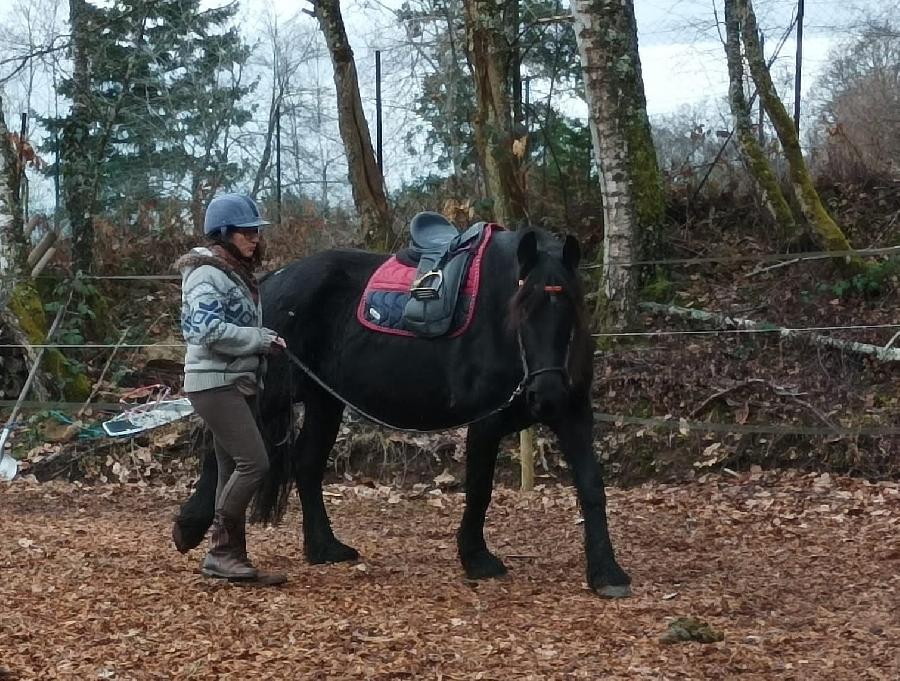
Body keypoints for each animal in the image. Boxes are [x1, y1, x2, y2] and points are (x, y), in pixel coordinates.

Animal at [172, 227, 628, 596]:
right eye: (522, 307)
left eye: (572, 308)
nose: (545, 393)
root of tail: (275, 279)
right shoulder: (485, 422)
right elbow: (480, 489)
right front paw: (476, 558)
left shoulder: (573, 414)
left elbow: (592, 488)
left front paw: (607, 572)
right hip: (268, 398)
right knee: (225, 454)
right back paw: (190, 528)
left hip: (325, 402)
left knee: (305, 464)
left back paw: (323, 547)